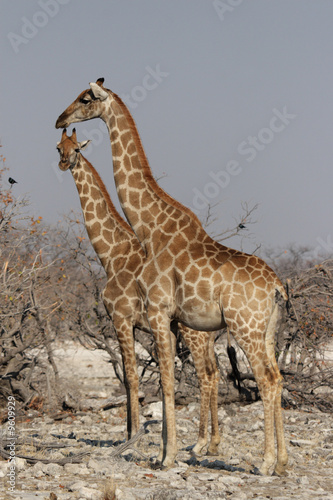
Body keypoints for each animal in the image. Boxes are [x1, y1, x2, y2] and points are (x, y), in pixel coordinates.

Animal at [55, 128, 220, 458]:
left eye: (77, 148)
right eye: (58, 147)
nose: (65, 162)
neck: (111, 254)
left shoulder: (120, 318)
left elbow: (131, 377)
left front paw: (132, 436)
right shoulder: (125, 323)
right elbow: (129, 377)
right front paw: (130, 434)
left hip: (193, 333)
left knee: (206, 375)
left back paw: (200, 443)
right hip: (204, 336)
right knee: (215, 373)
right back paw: (214, 443)